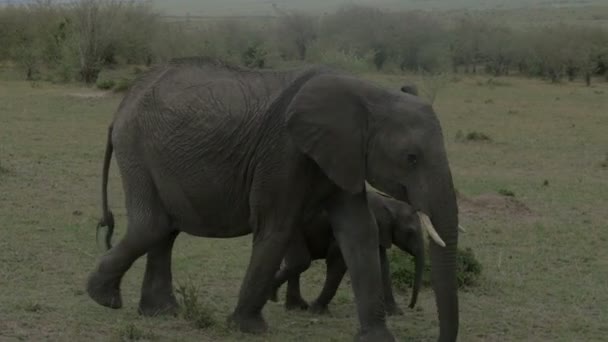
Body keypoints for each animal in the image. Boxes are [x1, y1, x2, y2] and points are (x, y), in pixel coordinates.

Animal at [268, 188, 426, 316]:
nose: (411, 306)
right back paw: (274, 297)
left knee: (295, 263)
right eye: (410, 232)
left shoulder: (379, 233)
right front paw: (317, 311)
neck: (387, 202)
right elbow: (338, 262)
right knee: (300, 261)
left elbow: (382, 266)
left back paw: (295, 306)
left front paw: (396, 313)